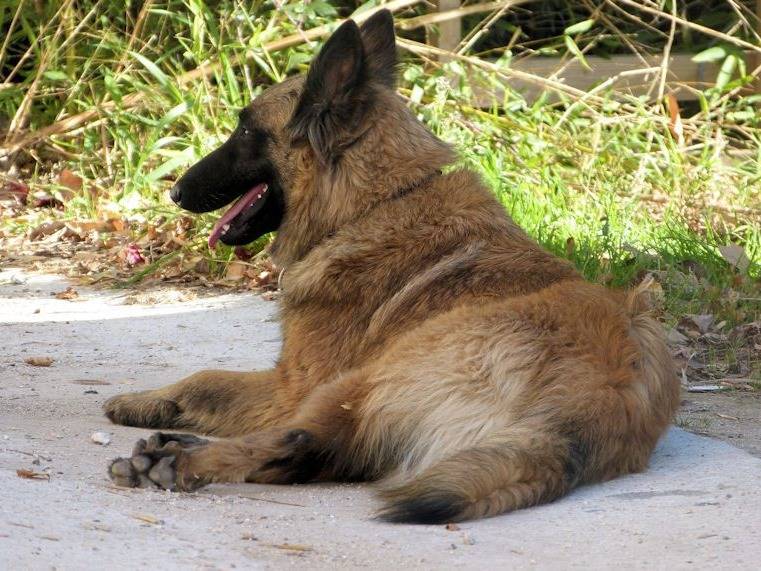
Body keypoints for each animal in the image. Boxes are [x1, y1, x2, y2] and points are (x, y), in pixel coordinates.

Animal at [105, 9, 679, 523]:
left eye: (246, 132)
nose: (175, 192)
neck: (374, 205)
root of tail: (592, 405)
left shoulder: (292, 385)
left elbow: (203, 379)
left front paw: (140, 399)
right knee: (311, 455)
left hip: (361, 382)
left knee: (296, 439)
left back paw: (176, 459)